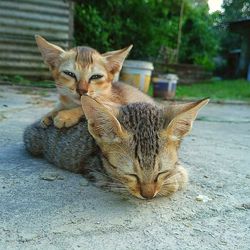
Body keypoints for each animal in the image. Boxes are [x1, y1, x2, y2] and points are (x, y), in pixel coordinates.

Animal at [24, 95, 209, 199]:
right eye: (131, 174)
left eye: (161, 172)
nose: (148, 196)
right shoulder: (95, 172)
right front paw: (175, 180)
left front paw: (175, 175)